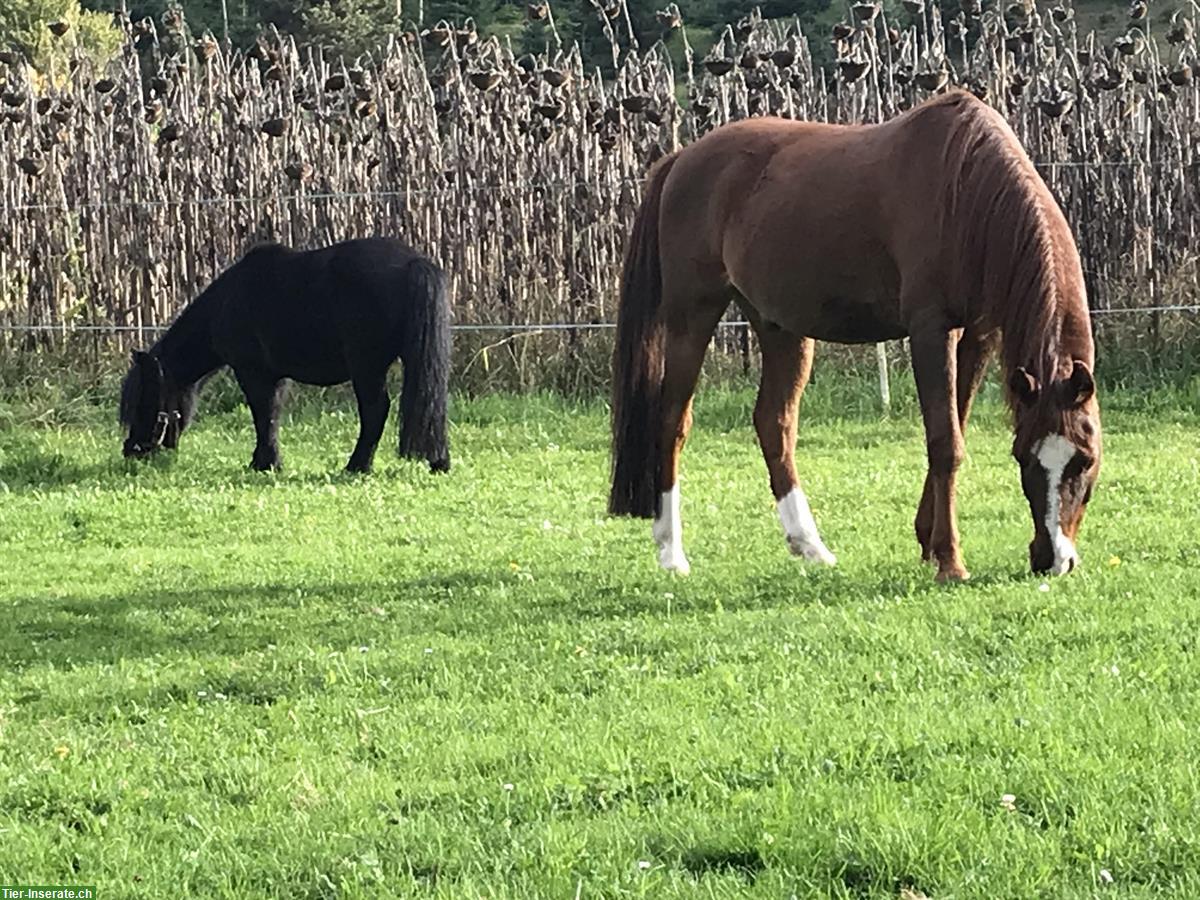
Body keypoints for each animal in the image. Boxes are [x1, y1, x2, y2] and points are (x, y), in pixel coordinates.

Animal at [120, 240, 451, 475]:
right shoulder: (276, 377)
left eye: (144, 399)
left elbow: (262, 415)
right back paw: (438, 462)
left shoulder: (253, 372)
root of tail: (413, 262)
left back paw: (357, 466)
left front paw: (264, 463)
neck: (228, 302)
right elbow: (272, 415)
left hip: (367, 368)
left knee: (375, 411)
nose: (131, 450)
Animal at [614, 93, 1099, 585]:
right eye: (1024, 458)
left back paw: (811, 545)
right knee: (672, 422)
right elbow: (945, 442)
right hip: (692, 315)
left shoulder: (978, 333)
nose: (1053, 558)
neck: (964, 188)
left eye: (1085, 459)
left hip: (779, 327)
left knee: (774, 423)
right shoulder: (931, 329)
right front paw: (949, 561)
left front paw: (928, 541)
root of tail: (680, 161)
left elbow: (955, 426)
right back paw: (672, 552)